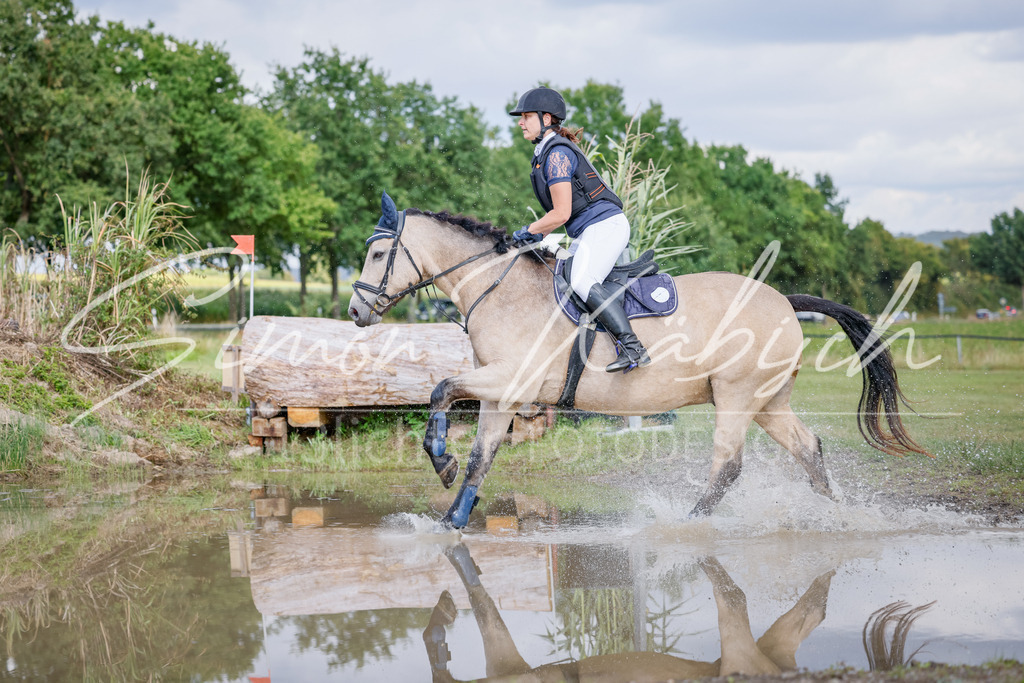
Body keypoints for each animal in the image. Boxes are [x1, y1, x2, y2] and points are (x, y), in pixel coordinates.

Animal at [348, 193, 927, 529]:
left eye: (377, 254)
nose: (355, 311)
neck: (498, 287)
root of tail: (785, 301)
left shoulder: (509, 379)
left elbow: (441, 388)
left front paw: (439, 461)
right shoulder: (502, 392)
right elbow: (479, 457)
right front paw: (452, 514)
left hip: (736, 395)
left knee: (728, 466)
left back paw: (687, 524)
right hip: (767, 402)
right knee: (808, 448)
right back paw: (841, 513)